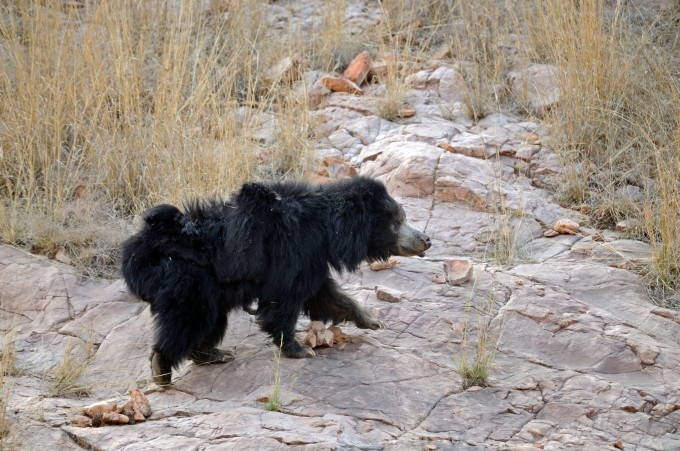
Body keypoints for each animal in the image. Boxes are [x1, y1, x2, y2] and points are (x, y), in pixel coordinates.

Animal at [121, 177, 430, 384]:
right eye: (396, 222)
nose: (426, 240)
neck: (327, 229)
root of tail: (136, 251)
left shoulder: (311, 261)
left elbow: (326, 295)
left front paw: (372, 320)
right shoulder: (293, 252)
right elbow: (284, 301)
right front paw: (300, 349)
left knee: (209, 319)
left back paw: (212, 354)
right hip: (185, 278)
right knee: (191, 317)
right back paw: (162, 368)